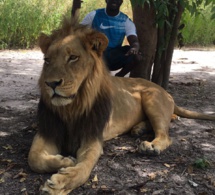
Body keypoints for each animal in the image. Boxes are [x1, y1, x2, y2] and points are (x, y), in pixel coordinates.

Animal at [28, 16, 215, 195]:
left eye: (73, 57)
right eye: (47, 60)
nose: (51, 84)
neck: (71, 109)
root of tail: (165, 91)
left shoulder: (92, 138)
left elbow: (83, 168)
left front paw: (61, 183)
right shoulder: (47, 131)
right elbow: (34, 158)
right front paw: (65, 160)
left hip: (152, 98)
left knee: (165, 135)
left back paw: (151, 146)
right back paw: (139, 128)